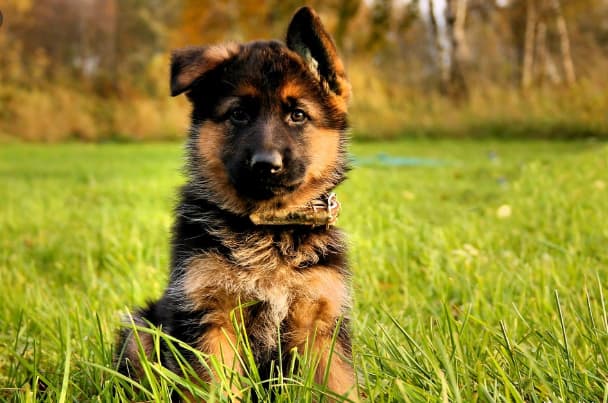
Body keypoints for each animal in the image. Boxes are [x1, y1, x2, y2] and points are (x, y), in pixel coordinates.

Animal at [117, 6, 356, 400]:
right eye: (238, 114)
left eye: (298, 115)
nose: (266, 164)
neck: (268, 230)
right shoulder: (211, 318)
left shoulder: (321, 325)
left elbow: (339, 385)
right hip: (141, 331)